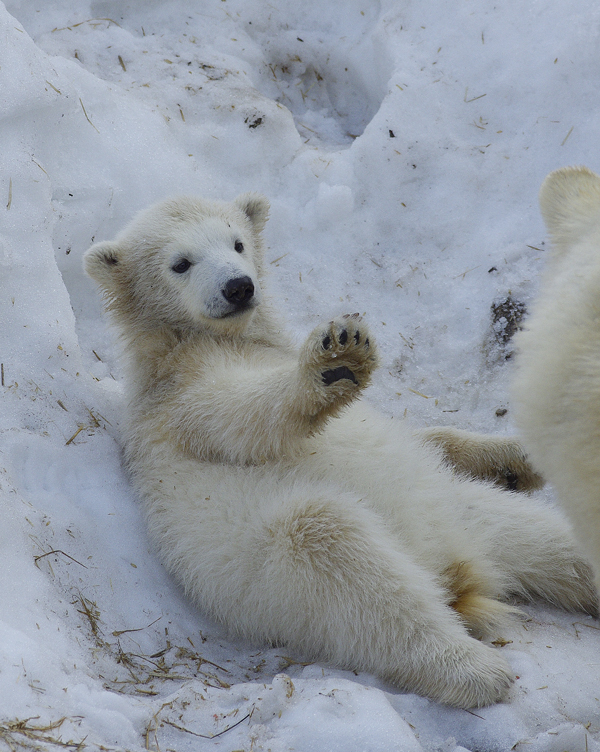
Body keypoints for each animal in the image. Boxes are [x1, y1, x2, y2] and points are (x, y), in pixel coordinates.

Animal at [82, 191, 596, 708]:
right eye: (181, 263)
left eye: (238, 242)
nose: (239, 287)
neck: (205, 340)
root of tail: (452, 569)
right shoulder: (181, 400)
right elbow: (243, 415)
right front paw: (335, 359)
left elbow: (425, 438)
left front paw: (518, 461)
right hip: (280, 570)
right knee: (345, 560)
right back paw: (476, 668)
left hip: (459, 506)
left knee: (544, 536)